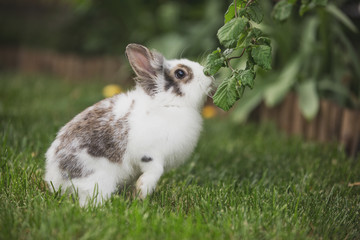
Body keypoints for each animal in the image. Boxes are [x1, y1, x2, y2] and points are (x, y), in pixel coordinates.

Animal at [45, 43, 214, 206]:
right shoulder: (149, 154)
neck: (168, 104)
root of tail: (56, 177)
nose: (209, 75)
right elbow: (155, 171)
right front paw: (141, 193)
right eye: (180, 73)